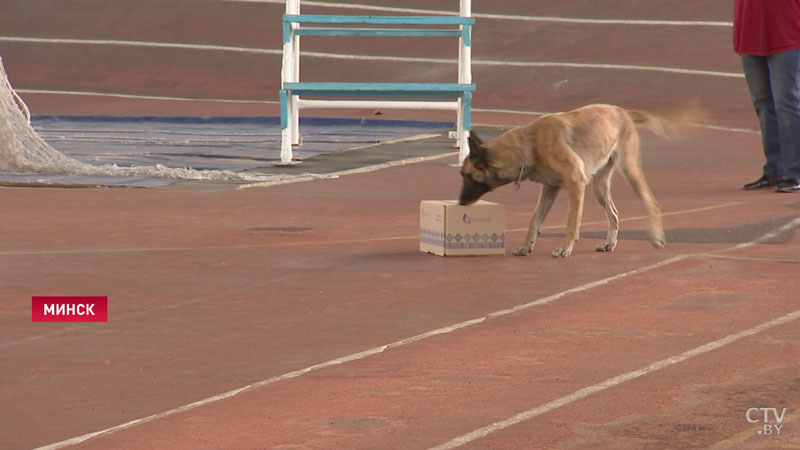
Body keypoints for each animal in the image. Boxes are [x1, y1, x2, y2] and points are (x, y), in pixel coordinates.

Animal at [462, 102, 680, 256]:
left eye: (466, 175)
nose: (461, 202)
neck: (529, 144)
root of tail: (622, 111)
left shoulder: (575, 184)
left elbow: (572, 221)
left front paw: (565, 248)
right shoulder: (549, 189)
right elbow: (534, 220)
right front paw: (526, 246)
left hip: (629, 171)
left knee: (651, 203)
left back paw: (656, 237)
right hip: (600, 187)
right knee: (614, 213)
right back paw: (610, 243)